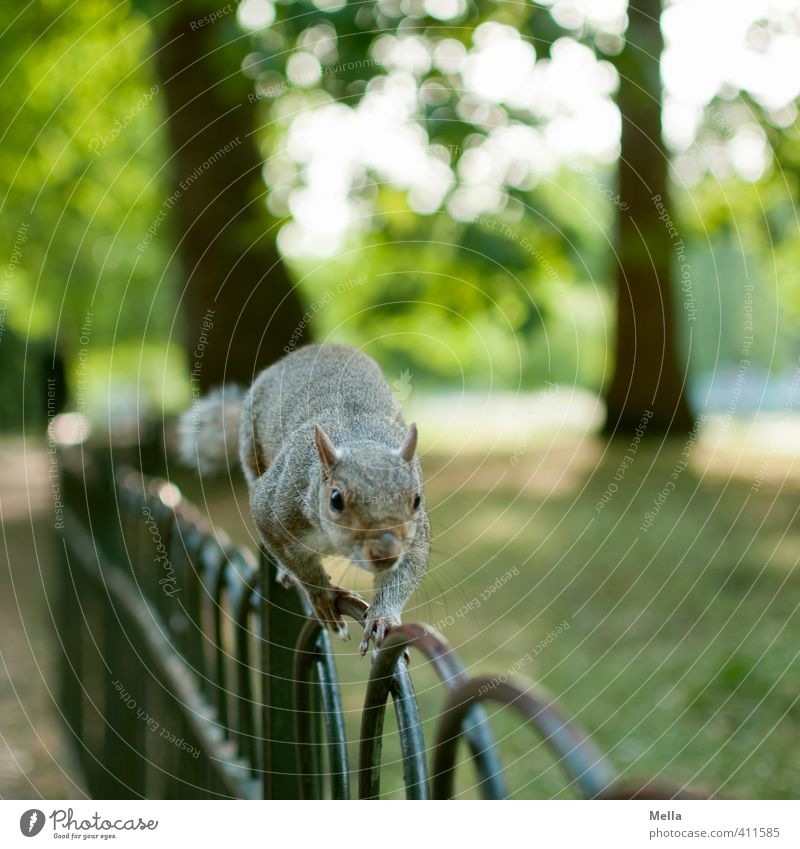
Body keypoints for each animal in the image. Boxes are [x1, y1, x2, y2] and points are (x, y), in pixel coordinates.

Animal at [180, 342, 432, 656]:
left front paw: (382, 617)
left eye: (417, 499)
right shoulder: (273, 507)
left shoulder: (414, 537)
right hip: (251, 446)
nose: (385, 553)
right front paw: (321, 595)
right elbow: (297, 562)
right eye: (336, 499)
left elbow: (407, 569)